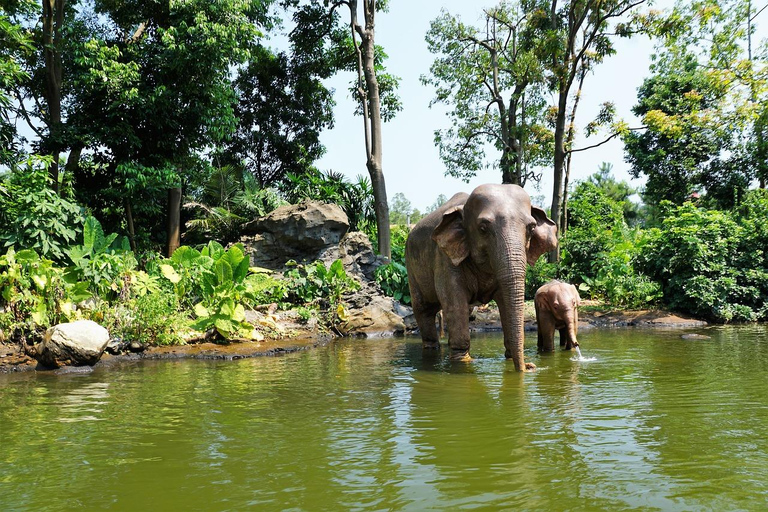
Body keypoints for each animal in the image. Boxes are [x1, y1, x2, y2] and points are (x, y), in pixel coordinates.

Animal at [408, 185, 560, 372]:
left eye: (531, 228)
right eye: (482, 228)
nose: (530, 366)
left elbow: (504, 302)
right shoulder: (444, 258)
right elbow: (454, 303)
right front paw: (463, 362)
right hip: (411, 268)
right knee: (424, 310)